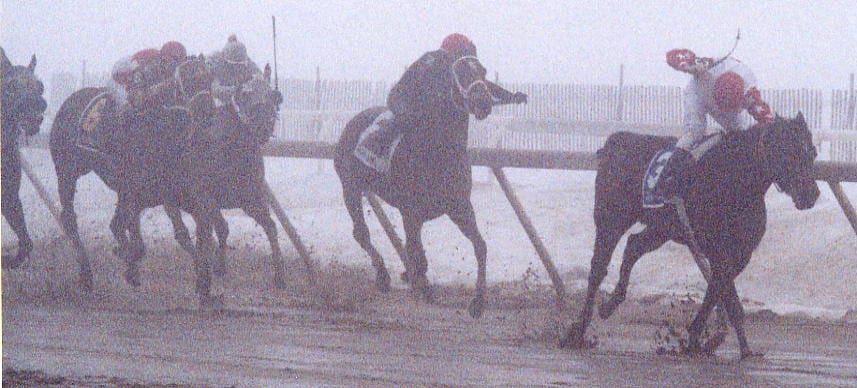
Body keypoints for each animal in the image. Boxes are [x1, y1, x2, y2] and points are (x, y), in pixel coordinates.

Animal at [560, 113, 824, 360]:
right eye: (788, 151)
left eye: (811, 151)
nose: (810, 194)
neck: (736, 179)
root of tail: (614, 141)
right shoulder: (716, 248)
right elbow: (726, 293)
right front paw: (720, 342)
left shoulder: (740, 253)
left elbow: (717, 289)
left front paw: (706, 340)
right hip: (611, 219)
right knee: (598, 267)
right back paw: (577, 330)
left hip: (662, 228)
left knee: (634, 245)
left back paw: (611, 302)